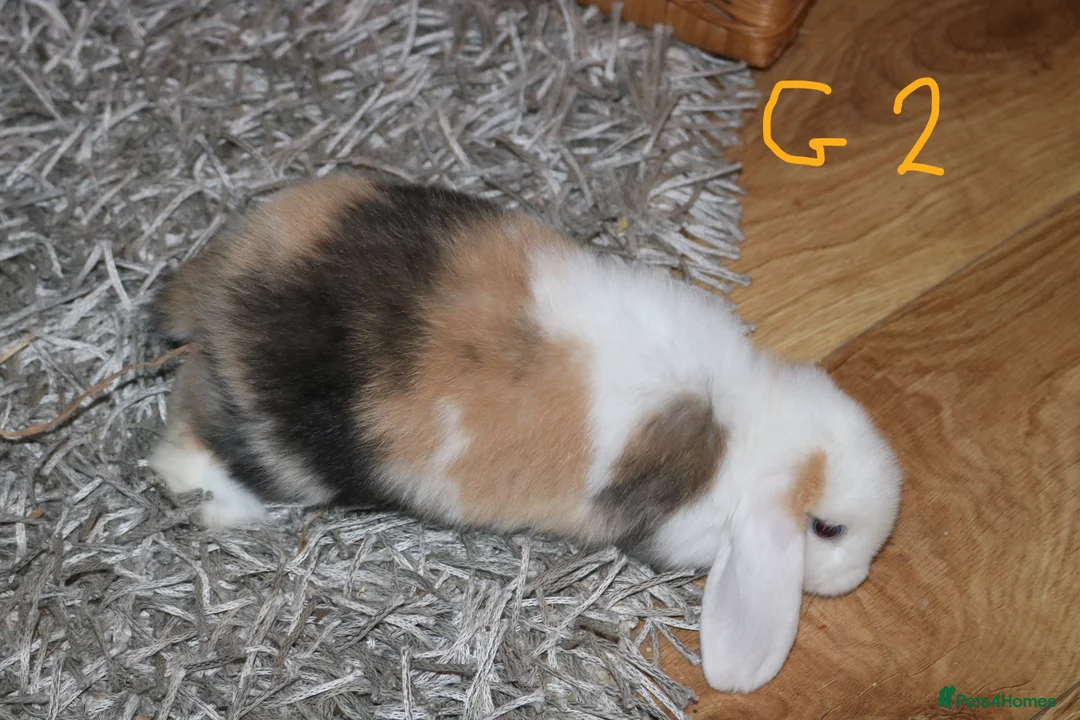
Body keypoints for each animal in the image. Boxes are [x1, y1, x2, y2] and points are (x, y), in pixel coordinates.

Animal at [150, 175, 903, 694]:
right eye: (827, 529)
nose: (862, 573)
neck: (739, 432)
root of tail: (218, 294)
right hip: (288, 444)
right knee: (190, 440)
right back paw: (215, 505)